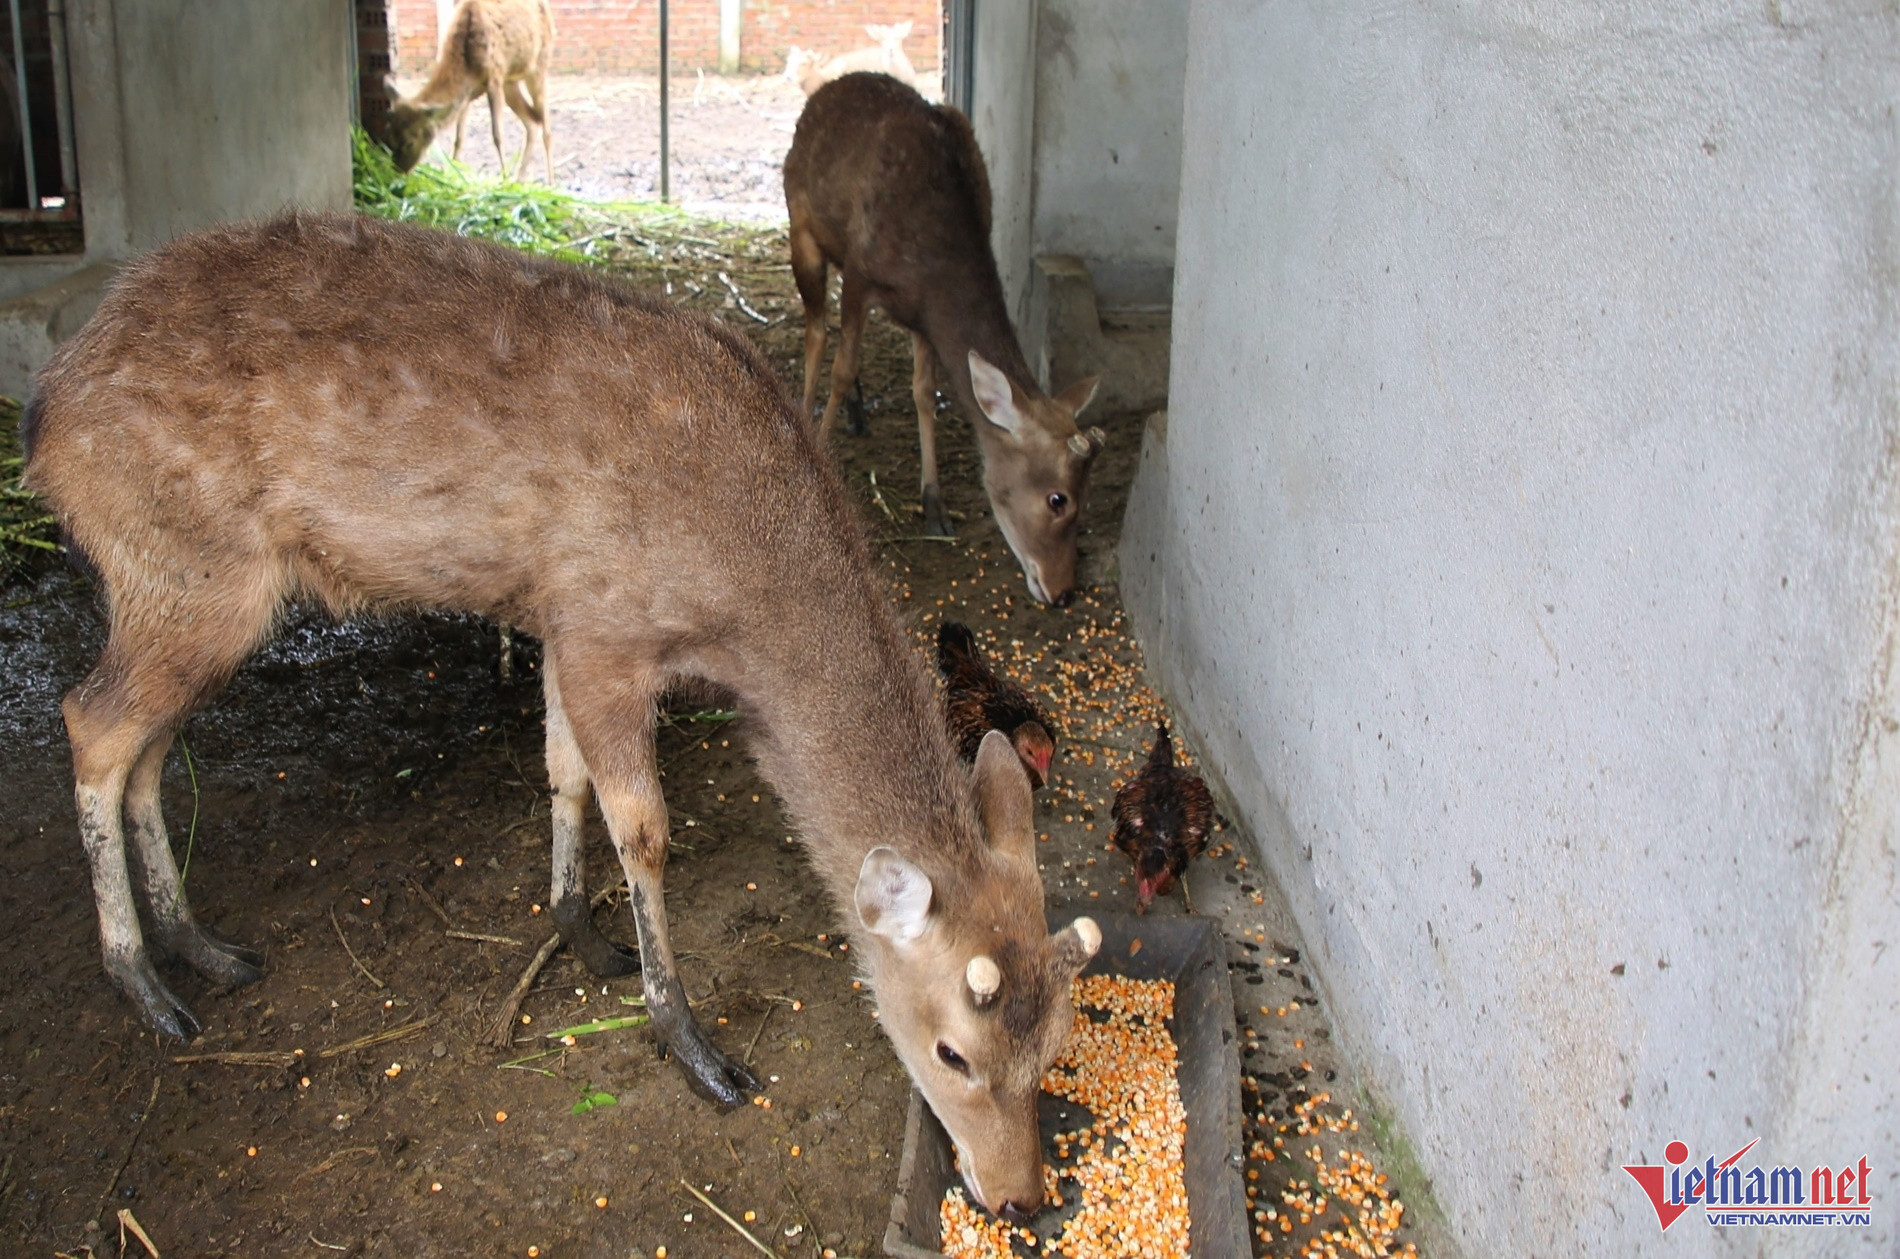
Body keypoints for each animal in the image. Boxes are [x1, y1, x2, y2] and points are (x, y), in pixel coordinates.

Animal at [22, 216, 1102, 1222]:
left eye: (1059, 1040)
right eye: (952, 1051)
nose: (1021, 1194)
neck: (746, 604)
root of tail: (45, 415)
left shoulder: (558, 619)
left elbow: (561, 767)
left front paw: (579, 928)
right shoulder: (604, 632)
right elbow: (645, 825)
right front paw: (691, 1041)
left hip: (193, 594)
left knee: (150, 749)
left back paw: (201, 944)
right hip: (184, 566)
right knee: (90, 721)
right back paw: (143, 982)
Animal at [381, 0, 554, 179]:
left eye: (410, 141)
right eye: (388, 136)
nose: (399, 171)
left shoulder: (495, 75)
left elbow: (498, 136)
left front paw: (504, 179)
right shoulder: (468, 92)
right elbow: (459, 138)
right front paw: (453, 173)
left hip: (539, 65)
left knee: (547, 130)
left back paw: (550, 181)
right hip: (510, 82)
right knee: (533, 121)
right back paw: (519, 181)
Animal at [779, 72, 1102, 607]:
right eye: (1058, 499)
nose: (1062, 592)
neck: (932, 260)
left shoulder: (922, 317)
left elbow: (925, 393)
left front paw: (935, 505)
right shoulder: (862, 274)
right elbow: (842, 368)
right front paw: (821, 449)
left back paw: (859, 413)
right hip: (802, 226)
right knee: (817, 330)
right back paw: (808, 413)